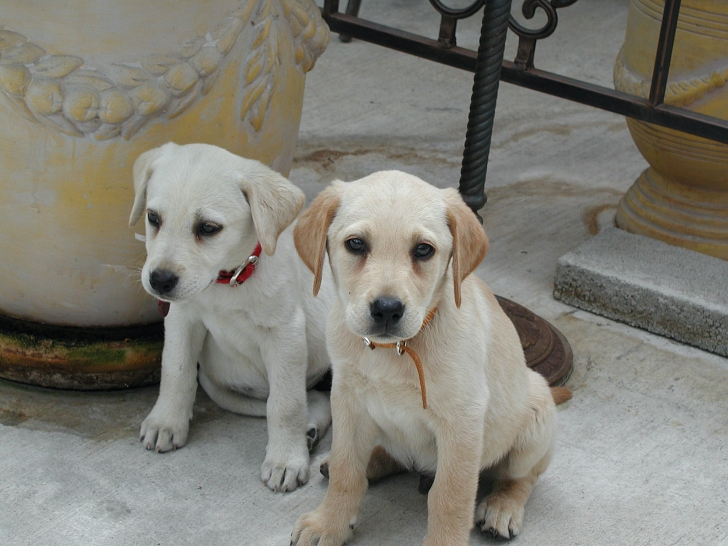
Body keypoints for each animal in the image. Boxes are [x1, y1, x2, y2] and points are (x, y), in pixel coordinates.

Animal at [130, 142, 332, 490]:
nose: (159, 280)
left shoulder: (285, 333)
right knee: (319, 400)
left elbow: (285, 403)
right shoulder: (183, 318)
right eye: (153, 218)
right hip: (217, 386)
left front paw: (285, 460)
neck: (227, 281)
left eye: (208, 228)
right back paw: (309, 430)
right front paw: (166, 422)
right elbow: (176, 370)